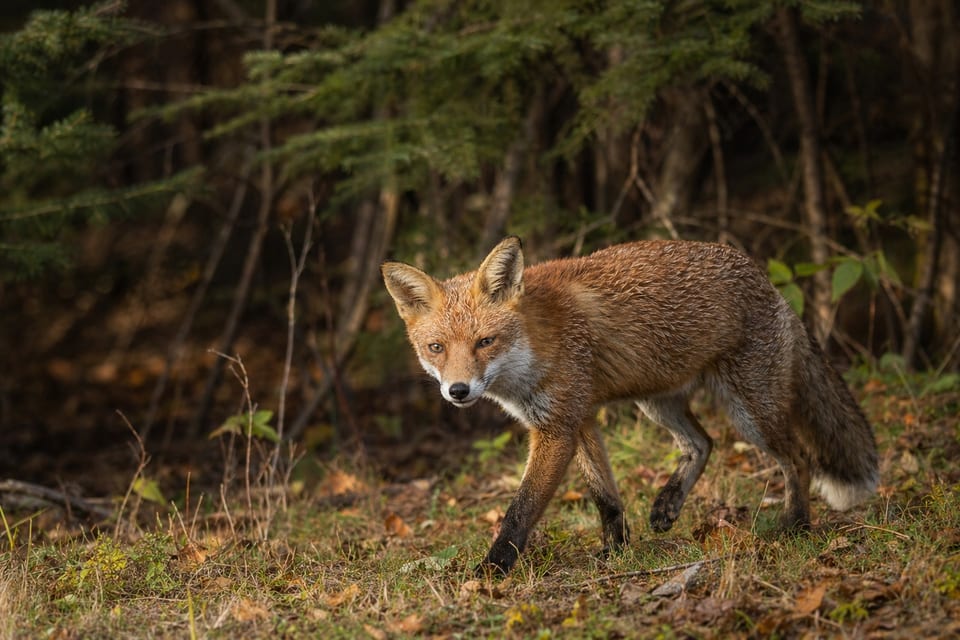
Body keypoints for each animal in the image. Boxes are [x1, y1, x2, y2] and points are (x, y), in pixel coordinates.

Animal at [381, 236, 879, 575]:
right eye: (436, 348)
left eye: (485, 342)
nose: (458, 391)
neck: (532, 349)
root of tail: (770, 284)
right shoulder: (579, 418)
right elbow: (605, 497)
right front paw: (616, 551)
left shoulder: (558, 427)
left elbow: (520, 510)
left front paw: (492, 570)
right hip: (657, 403)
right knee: (703, 443)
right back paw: (667, 504)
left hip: (751, 411)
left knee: (798, 458)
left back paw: (795, 525)